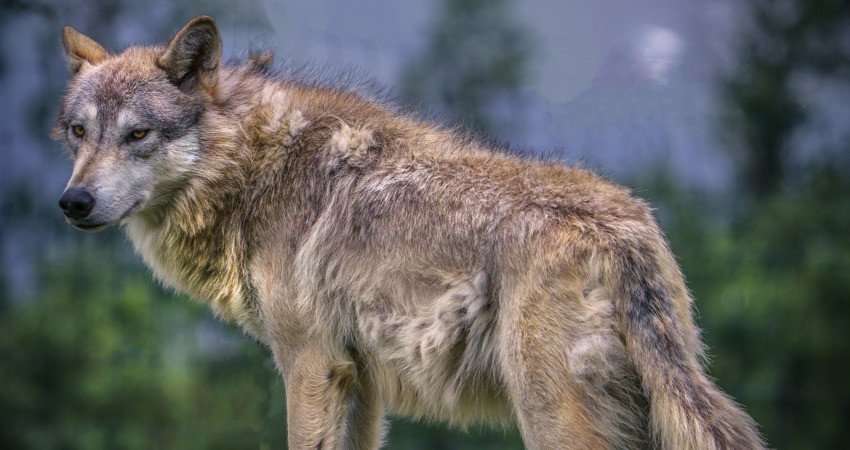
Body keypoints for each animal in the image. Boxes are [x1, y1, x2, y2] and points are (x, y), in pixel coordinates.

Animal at [54, 16, 760, 450]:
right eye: (80, 132)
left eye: (137, 134)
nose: (72, 201)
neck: (254, 171)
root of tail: (623, 231)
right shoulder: (360, 381)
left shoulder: (310, 363)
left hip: (550, 412)